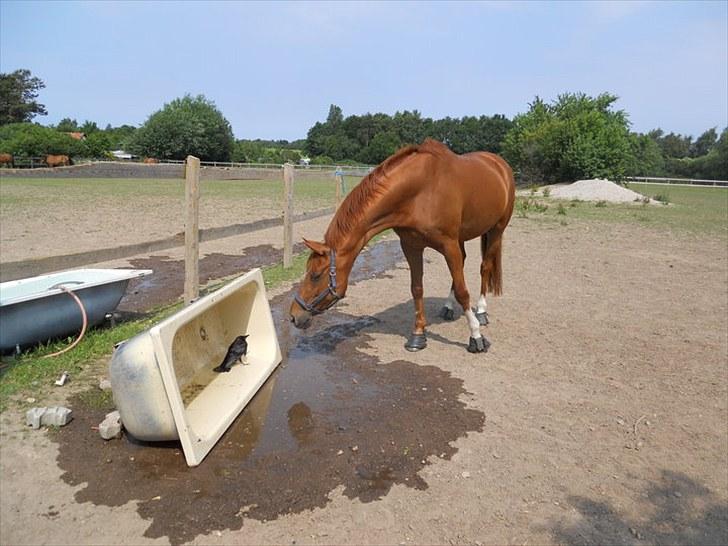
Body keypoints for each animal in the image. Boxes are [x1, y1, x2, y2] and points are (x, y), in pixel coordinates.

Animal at [288, 139, 516, 352]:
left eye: (316, 275)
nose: (294, 316)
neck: (422, 191)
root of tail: (499, 164)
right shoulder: (411, 246)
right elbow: (417, 288)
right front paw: (418, 336)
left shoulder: (448, 245)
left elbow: (463, 291)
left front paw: (476, 336)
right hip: (461, 238)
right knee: (462, 265)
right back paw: (448, 307)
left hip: (496, 230)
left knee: (485, 267)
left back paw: (481, 312)